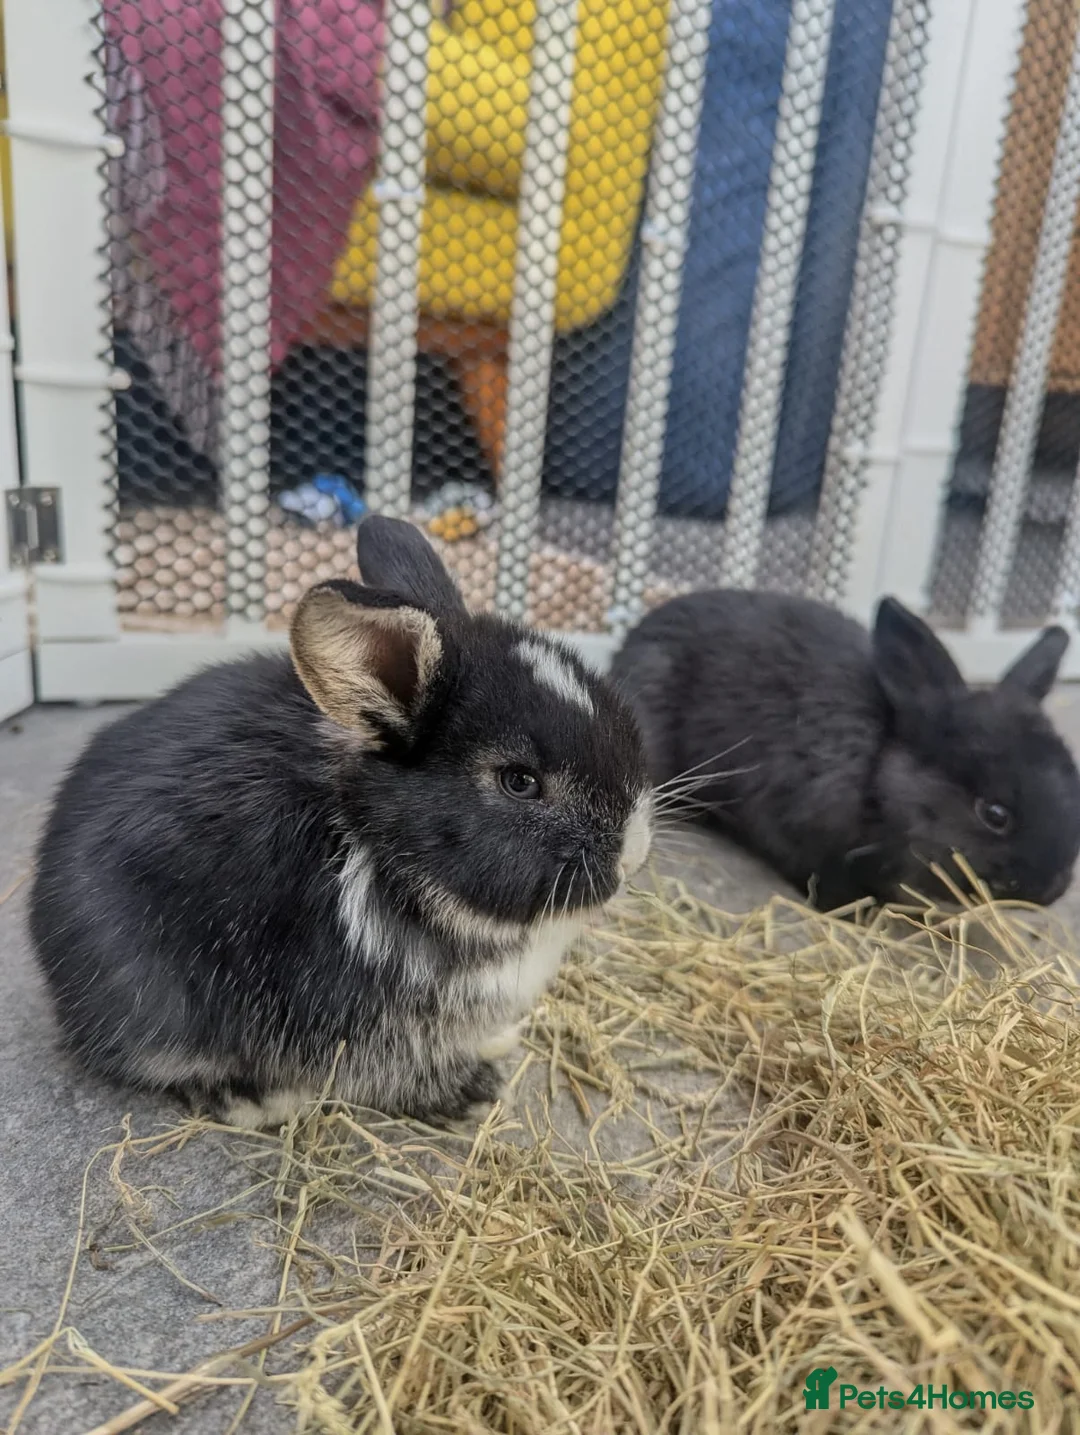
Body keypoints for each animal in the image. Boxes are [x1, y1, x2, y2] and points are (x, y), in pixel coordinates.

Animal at [29, 516, 653, 1129]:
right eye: (519, 781)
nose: (633, 852)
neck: (371, 839)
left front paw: (498, 1043)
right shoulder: (353, 1014)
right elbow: (387, 1071)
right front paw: (471, 1093)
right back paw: (260, 1102)